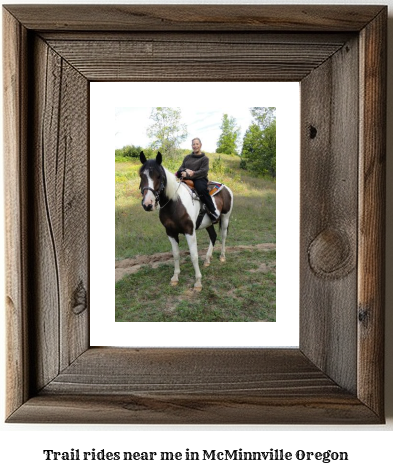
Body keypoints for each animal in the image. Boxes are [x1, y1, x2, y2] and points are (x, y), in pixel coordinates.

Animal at [139, 152, 233, 290]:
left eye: (159, 176)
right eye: (141, 175)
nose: (148, 204)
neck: (174, 203)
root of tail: (226, 188)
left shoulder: (190, 231)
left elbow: (194, 255)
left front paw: (198, 282)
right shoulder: (170, 232)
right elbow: (176, 254)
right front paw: (175, 277)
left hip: (225, 218)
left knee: (223, 236)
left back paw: (222, 257)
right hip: (208, 223)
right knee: (213, 236)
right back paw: (207, 259)